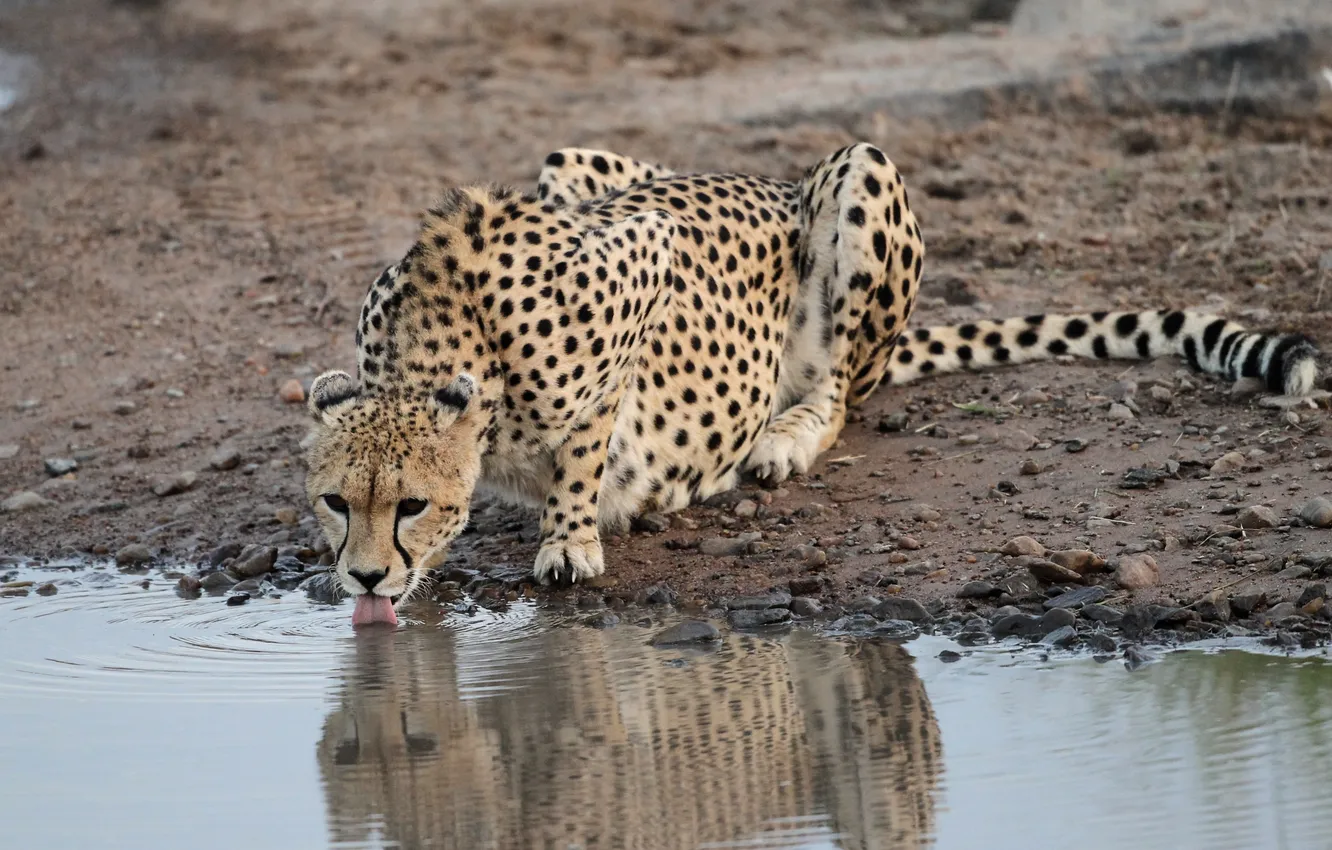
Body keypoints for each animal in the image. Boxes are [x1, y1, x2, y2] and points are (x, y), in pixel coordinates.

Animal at [305, 143, 1321, 626]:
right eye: (334, 502)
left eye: (410, 505)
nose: (364, 578)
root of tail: (779, 179)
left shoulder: (645, 255)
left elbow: (591, 437)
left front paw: (572, 535)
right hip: (569, 164)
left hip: (859, 180)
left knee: (838, 393)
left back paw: (781, 439)